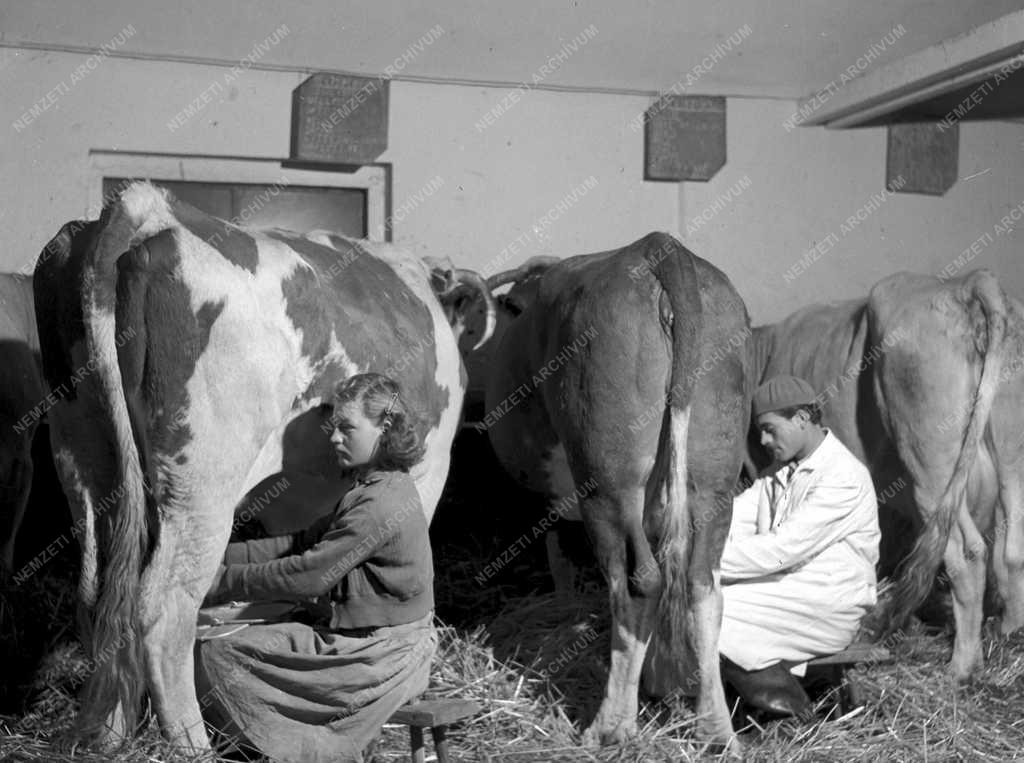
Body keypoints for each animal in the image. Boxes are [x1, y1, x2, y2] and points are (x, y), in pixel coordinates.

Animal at [33, 183, 495, 749]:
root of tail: (151, 208)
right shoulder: (430, 468)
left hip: (85, 457)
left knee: (100, 593)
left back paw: (107, 736)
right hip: (201, 477)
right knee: (163, 607)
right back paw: (193, 746)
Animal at [479, 232, 745, 745]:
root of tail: (660, 247)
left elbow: (559, 557)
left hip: (608, 482)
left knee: (639, 585)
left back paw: (610, 727)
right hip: (713, 479)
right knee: (703, 586)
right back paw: (714, 729)